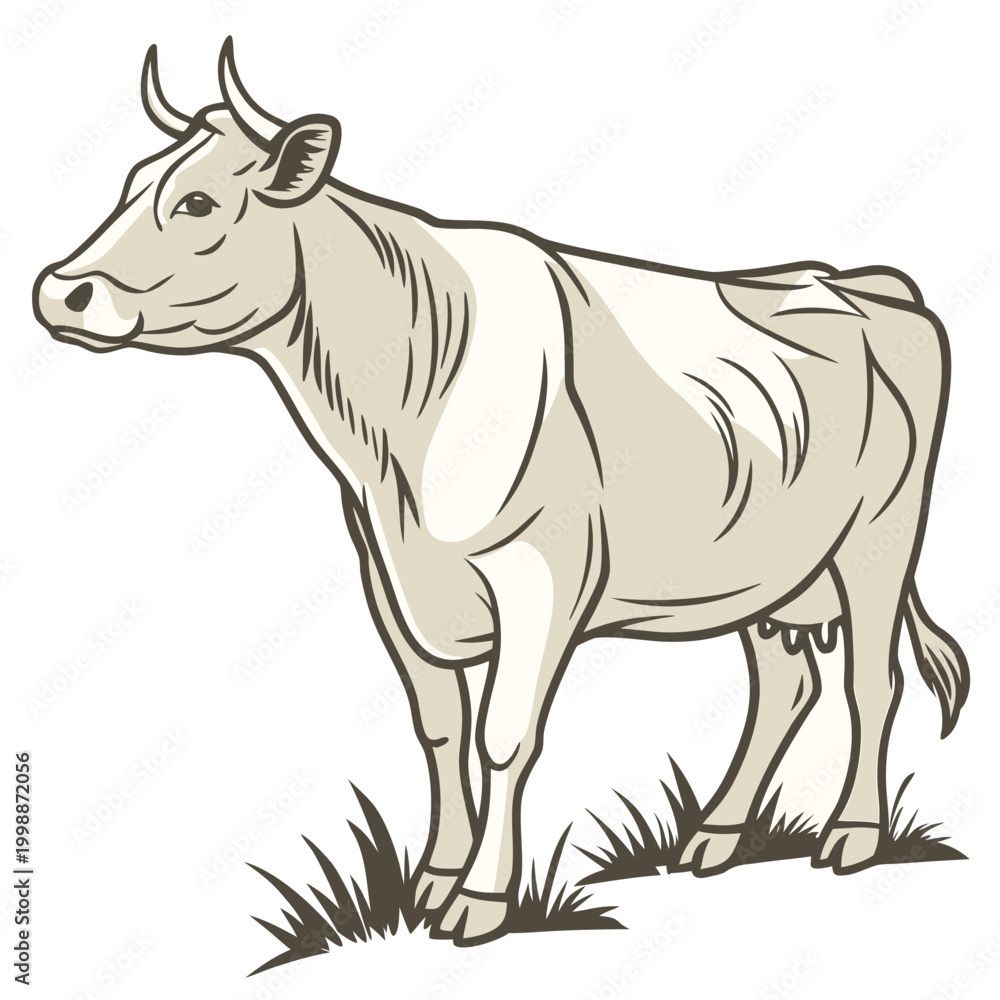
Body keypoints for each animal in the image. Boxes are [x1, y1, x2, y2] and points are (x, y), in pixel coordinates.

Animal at [33, 40, 969, 945]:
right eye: (129, 185)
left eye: (197, 203)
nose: (58, 290)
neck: (393, 442)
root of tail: (859, 281)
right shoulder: (387, 579)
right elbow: (441, 730)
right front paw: (431, 878)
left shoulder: (541, 577)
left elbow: (504, 736)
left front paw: (480, 900)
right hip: (766, 569)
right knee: (784, 685)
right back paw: (715, 835)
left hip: (880, 538)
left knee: (871, 680)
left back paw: (853, 834)